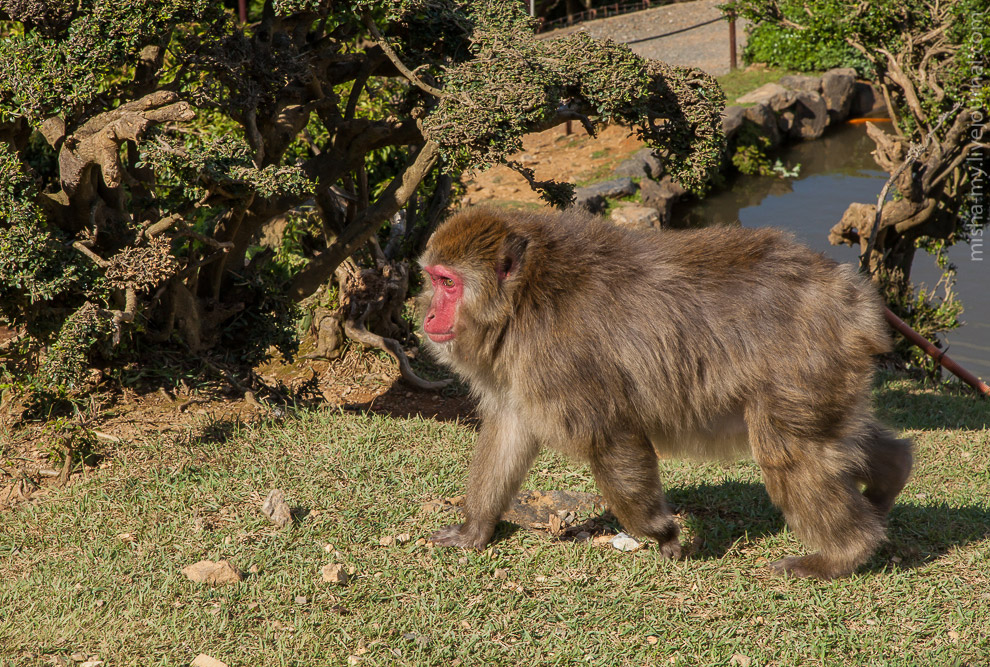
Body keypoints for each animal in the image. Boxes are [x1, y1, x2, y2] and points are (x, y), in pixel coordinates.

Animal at [418, 206, 916, 580]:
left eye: (449, 284)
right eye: (434, 279)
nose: (427, 317)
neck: (524, 297)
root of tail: (850, 295)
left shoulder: (561, 360)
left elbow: (608, 435)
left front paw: (660, 532)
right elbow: (509, 431)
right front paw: (474, 528)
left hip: (802, 362)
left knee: (791, 451)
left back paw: (842, 555)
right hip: (827, 372)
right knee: (833, 438)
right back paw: (890, 477)